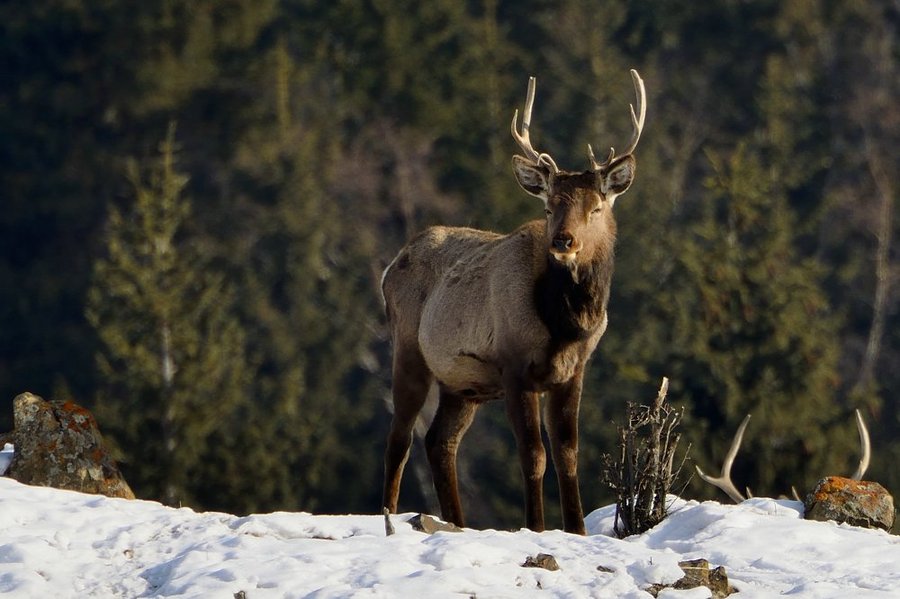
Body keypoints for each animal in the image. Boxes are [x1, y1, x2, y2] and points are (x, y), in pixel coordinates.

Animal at [384, 70, 644, 536]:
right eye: (548, 206)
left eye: (596, 207)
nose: (563, 241)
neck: (565, 325)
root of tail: (390, 264)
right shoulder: (514, 364)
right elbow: (534, 455)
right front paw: (536, 527)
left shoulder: (574, 370)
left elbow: (568, 454)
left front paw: (576, 530)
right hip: (410, 350)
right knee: (399, 439)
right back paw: (390, 518)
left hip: (460, 383)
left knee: (439, 441)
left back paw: (456, 522)